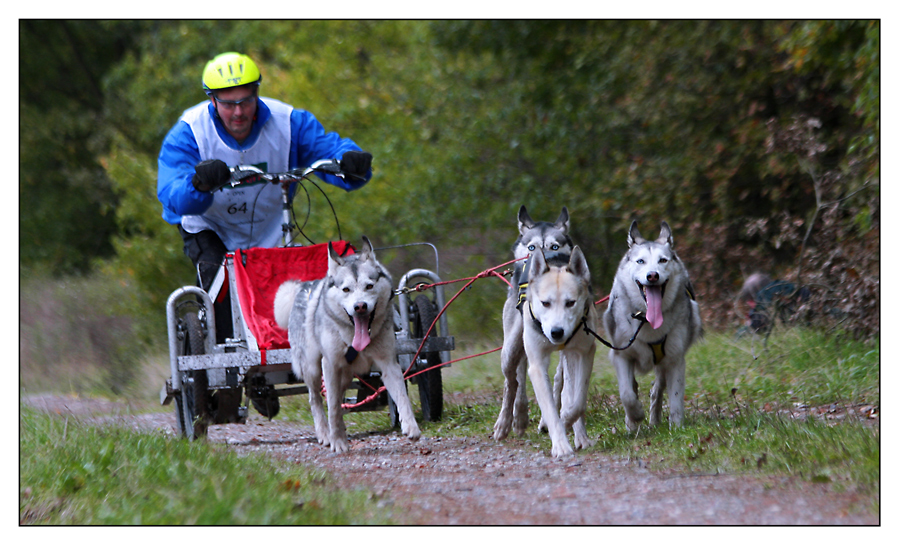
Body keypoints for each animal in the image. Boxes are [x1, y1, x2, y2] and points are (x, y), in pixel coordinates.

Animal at [272, 235, 420, 450]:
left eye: (369, 286)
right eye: (346, 289)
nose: (360, 306)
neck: (353, 338)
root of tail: (301, 288)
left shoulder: (389, 364)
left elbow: (402, 396)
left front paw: (410, 426)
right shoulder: (330, 365)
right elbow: (333, 407)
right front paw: (338, 441)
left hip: (345, 376)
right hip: (313, 369)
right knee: (316, 400)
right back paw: (325, 433)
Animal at [488, 204, 572, 438]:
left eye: (554, 246)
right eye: (531, 247)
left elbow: (559, 380)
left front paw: (548, 419)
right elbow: (522, 378)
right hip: (511, 346)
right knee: (512, 381)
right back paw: (508, 421)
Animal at [604, 220, 704, 430]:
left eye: (663, 260)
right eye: (640, 261)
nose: (652, 276)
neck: (647, 320)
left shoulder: (675, 359)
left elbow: (676, 398)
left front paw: (677, 428)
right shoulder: (621, 355)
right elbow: (627, 394)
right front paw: (635, 415)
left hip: (663, 363)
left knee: (657, 389)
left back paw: (655, 421)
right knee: (634, 387)